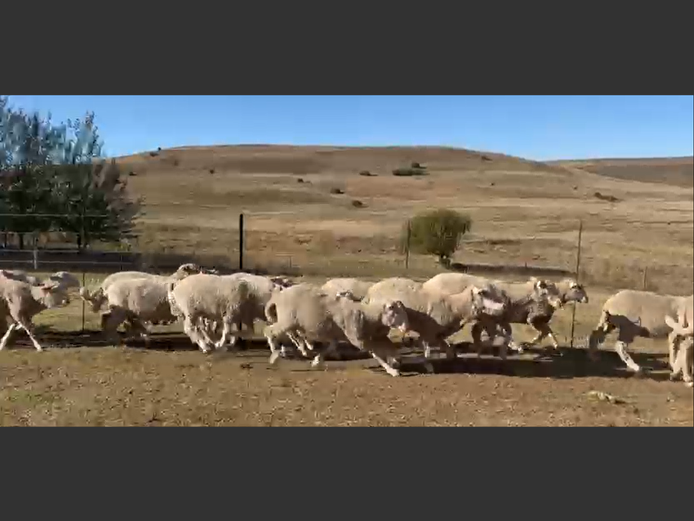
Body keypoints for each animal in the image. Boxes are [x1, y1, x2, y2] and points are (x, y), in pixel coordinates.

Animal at [263, 283, 410, 376]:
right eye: (395, 312)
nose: (406, 327)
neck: (366, 314)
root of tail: (278, 297)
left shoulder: (342, 335)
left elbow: (331, 347)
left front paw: (317, 361)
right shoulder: (357, 339)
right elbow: (376, 354)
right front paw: (392, 371)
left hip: (291, 323)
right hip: (286, 321)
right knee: (268, 331)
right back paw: (275, 356)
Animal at [362, 277, 512, 362]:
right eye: (482, 294)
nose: (504, 305)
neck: (453, 305)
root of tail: (368, 294)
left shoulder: (438, 333)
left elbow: (448, 349)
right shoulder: (428, 332)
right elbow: (426, 349)